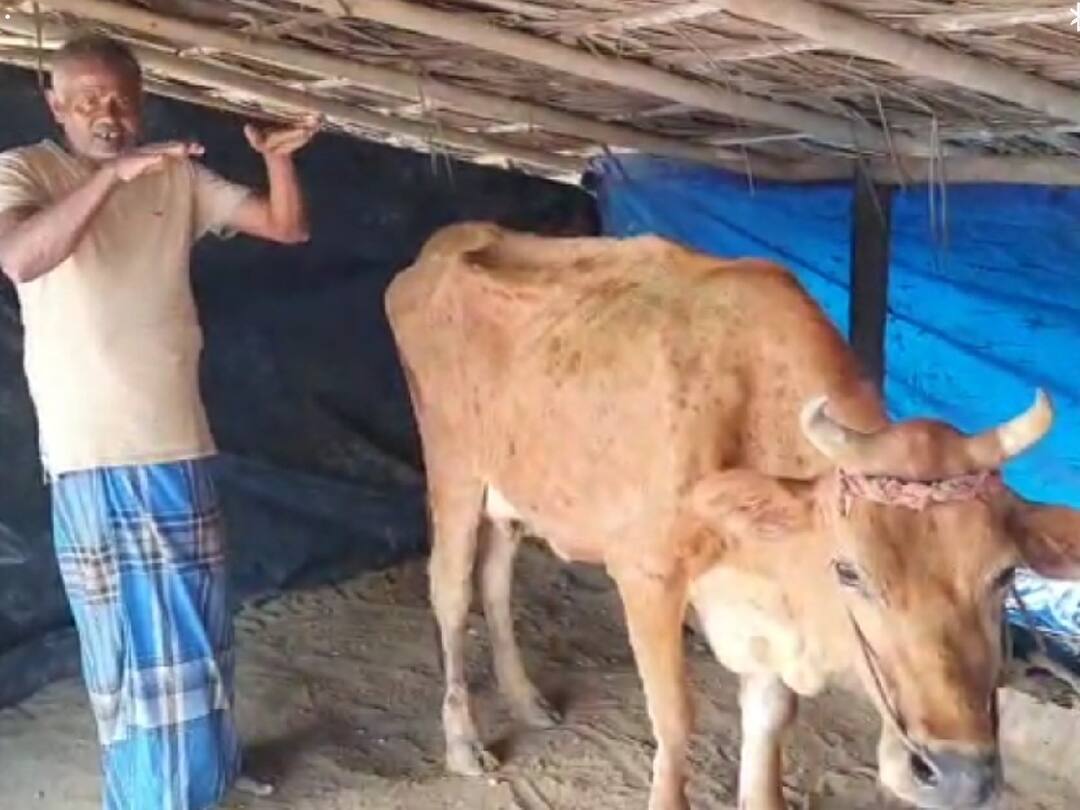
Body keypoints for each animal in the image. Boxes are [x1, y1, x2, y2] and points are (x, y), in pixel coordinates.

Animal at [384, 222, 1080, 810]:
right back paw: (463, 742)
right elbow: (674, 720)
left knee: (496, 583)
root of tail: (446, 243)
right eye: (849, 571)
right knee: (450, 593)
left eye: (1005, 576)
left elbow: (768, 737)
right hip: (453, 467)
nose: (959, 774)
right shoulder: (647, 575)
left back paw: (527, 701)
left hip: (512, 490)